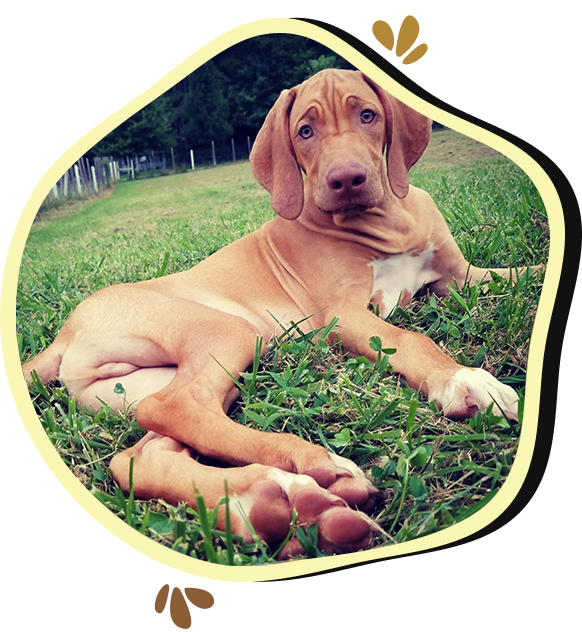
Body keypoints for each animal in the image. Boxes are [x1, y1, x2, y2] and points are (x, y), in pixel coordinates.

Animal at [21, 69, 532, 560]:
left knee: (141, 454)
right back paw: (311, 470)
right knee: (174, 407)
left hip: (167, 379)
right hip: (231, 331)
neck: (389, 221)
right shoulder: (342, 315)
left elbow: (524, 272)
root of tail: (64, 333)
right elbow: (410, 339)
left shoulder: (461, 277)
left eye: (368, 115)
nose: (347, 179)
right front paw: (464, 380)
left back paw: (273, 507)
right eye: (305, 131)